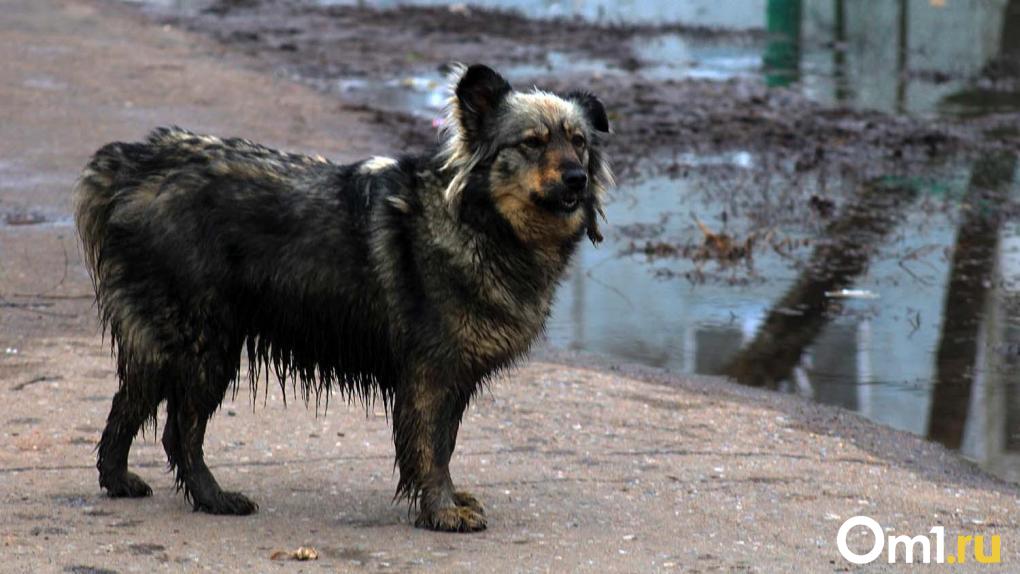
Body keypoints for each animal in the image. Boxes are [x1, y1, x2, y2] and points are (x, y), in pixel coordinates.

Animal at [75, 63, 612, 534]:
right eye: (532, 143)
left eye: (579, 142)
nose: (577, 178)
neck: (479, 221)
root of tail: (133, 165)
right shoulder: (430, 372)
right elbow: (431, 450)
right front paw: (442, 512)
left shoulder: (452, 376)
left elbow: (444, 444)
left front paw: (447, 501)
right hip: (205, 343)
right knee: (179, 429)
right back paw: (214, 498)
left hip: (174, 342)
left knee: (130, 403)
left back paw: (119, 480)